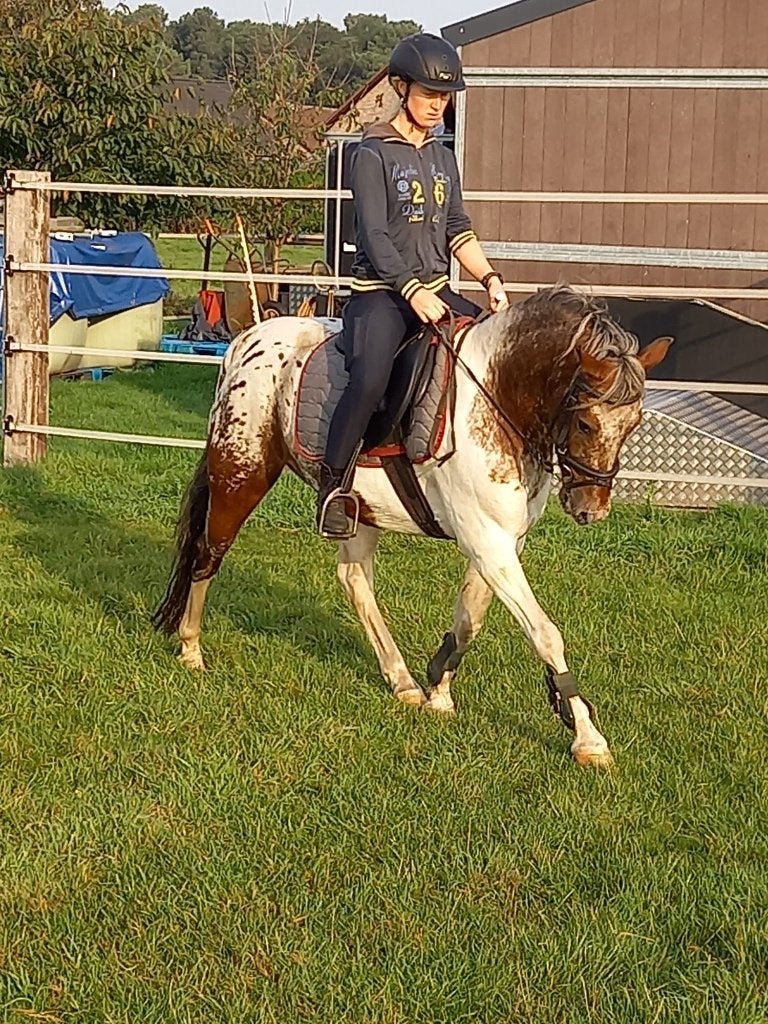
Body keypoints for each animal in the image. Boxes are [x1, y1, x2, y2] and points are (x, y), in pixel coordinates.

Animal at [153, 284, 671, 767]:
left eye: (633, 425)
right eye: (585, 424)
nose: (591, 510)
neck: (499, 396)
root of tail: (246, 341)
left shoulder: (500, 541)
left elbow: (470, 618)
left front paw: (439, 689)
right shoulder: (488, 540)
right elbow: (545, 632)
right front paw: (588, 737)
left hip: (357, 508)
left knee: (354, 579)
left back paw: (401, 680)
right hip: (242, 473)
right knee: (208, 553)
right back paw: (191, 648)